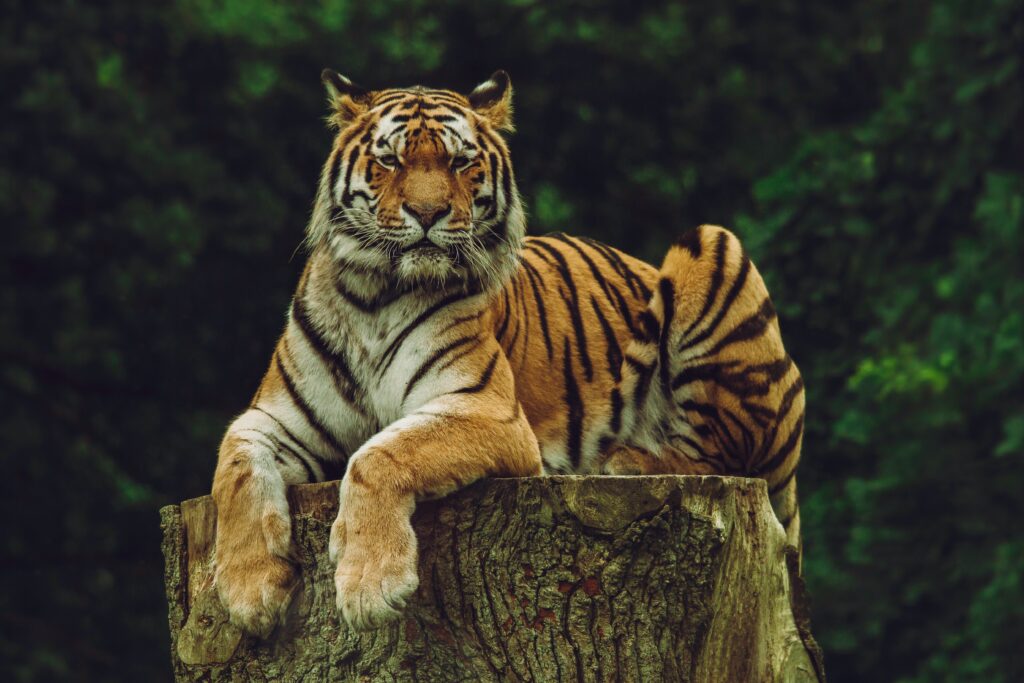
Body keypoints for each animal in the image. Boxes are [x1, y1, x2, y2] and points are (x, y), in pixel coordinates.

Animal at [211, 69, 802, 634]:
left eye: (460, 161)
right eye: (390, 160)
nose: (427, 212)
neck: (374, 297)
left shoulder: (487, 410)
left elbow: (378, 454)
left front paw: (370, 586)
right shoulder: (276, 418)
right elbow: (234, 469)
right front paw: (248, 592)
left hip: (713, 245)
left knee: (724, 454)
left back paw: (626, 460)